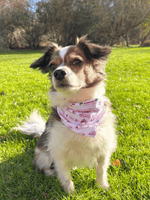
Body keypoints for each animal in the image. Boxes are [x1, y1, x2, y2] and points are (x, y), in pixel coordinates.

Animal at [17, 36, 117, 194]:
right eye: (52, 66)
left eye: (77, 61)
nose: (58, 73)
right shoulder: (59, 152)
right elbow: (65, 175)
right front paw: (70, 192)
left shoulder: (103, 148)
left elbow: (101, 170)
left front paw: (102, 187)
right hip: (44, 154)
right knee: (42, 166)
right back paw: (50, 173)